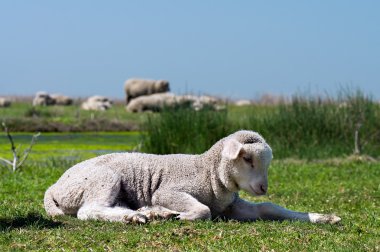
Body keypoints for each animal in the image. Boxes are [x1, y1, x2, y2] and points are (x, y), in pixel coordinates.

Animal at [44, 130, 342, 224]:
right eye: (247, 159)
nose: (263, 187)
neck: (208, 172)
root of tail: (54, 186)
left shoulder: (231, 206)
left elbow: (268, 208)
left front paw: (324, 217)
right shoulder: (168, 191)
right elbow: (202, 211)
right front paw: (183, 217)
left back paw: (151, 213)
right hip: (103, 179)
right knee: (89, 210)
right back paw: (137, 217)